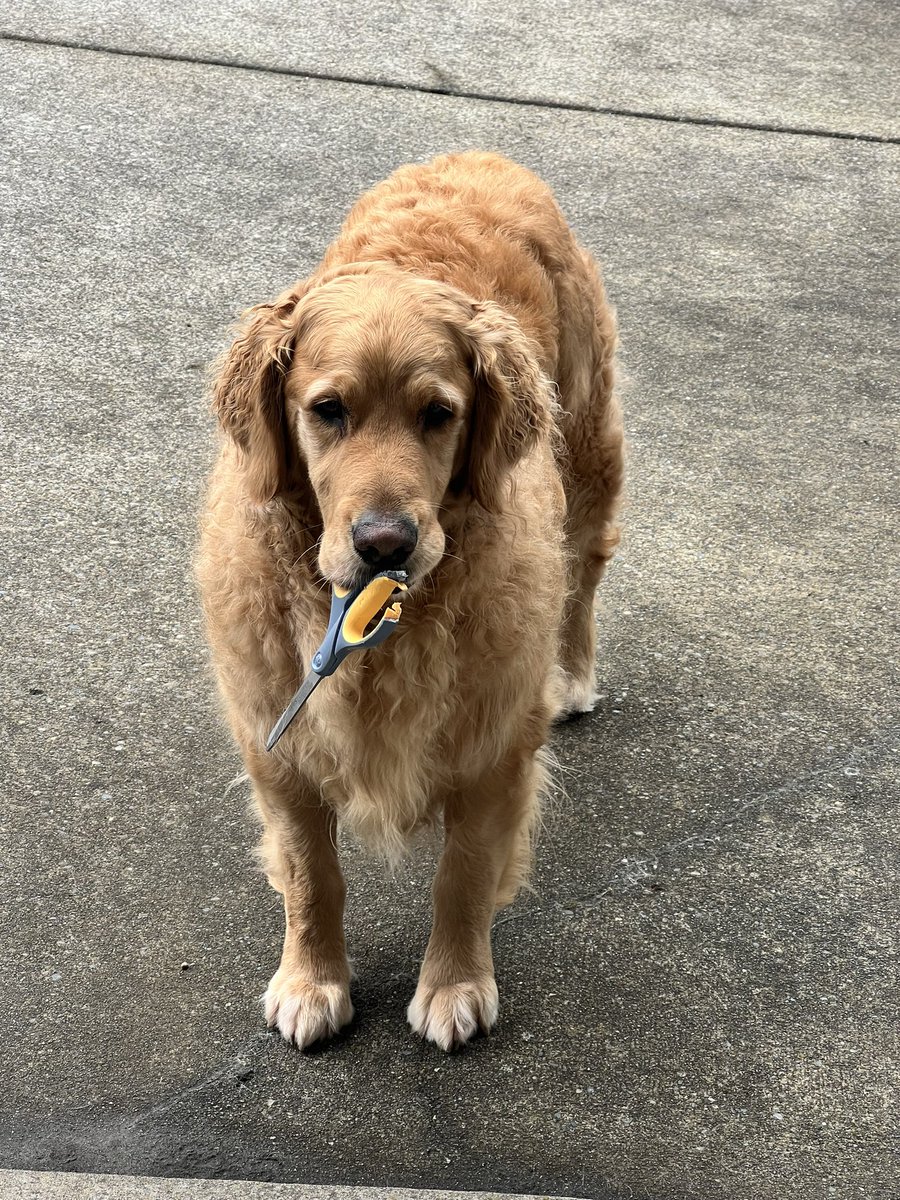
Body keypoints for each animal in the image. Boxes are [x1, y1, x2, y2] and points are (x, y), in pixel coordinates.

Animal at [196, 150, 624, 1051]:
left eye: (438, 414)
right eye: (327, 410)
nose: (385, 543)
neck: (382, 621)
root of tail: (481, 153)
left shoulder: (496, 739)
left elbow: (462, 875)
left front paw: (454, 984)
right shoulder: (276, 740)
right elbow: (312, 875)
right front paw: (312, 980)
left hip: (589, 445)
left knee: (586, 568)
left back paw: (573, 673)